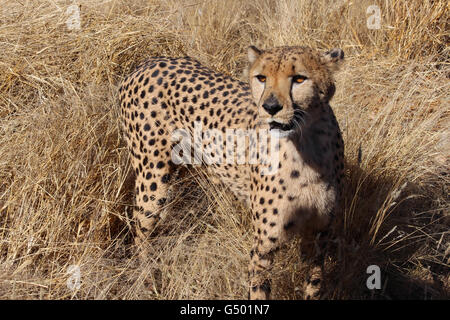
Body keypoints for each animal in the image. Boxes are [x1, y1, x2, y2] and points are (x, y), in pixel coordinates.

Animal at [119, 45, 344, 300]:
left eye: (299, 79)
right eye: (261, 78)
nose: (270, 107)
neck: (306, 146)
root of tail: (147, 62)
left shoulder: (319, 237)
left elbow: (313, 286)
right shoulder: (263, 247)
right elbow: (259, 291)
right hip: (153, 182)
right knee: (141, 233)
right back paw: (148, 283)